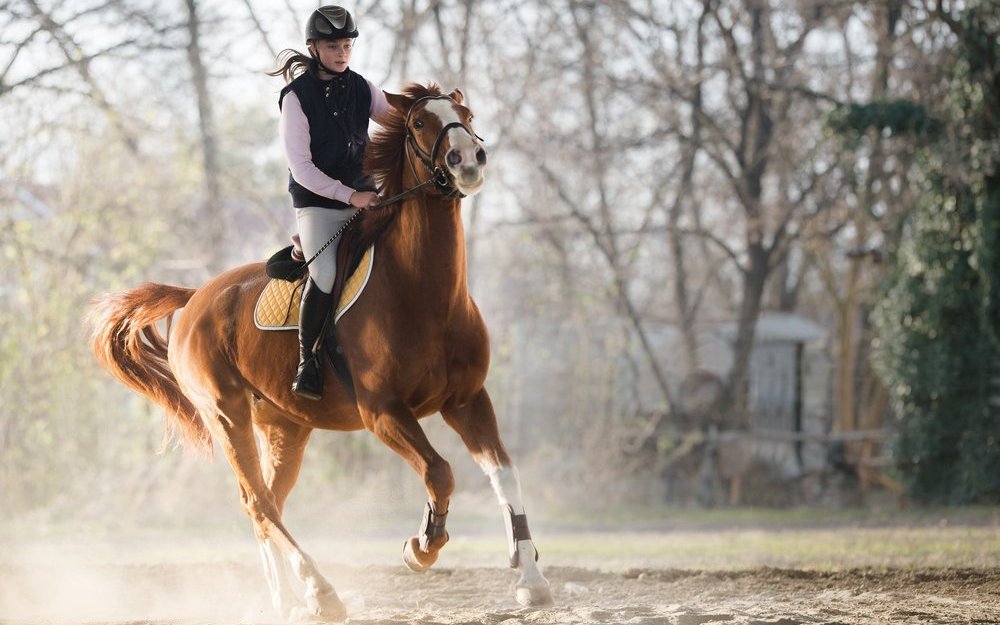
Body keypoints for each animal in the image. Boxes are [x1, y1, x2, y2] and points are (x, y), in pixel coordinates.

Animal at [89, 83, 556, 620]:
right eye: (420, 123)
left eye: (466, 114)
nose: (468, 159)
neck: (426, 294)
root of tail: (193, 299)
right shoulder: (383, 412)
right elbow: (439, 471)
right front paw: (421, 545)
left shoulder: (467, 401)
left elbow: (505, 474)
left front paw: (531, 579)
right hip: (227, 415)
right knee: (259, 502)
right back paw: (321, 590)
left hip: (285, 427)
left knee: (266, 504)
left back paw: (291, 600)